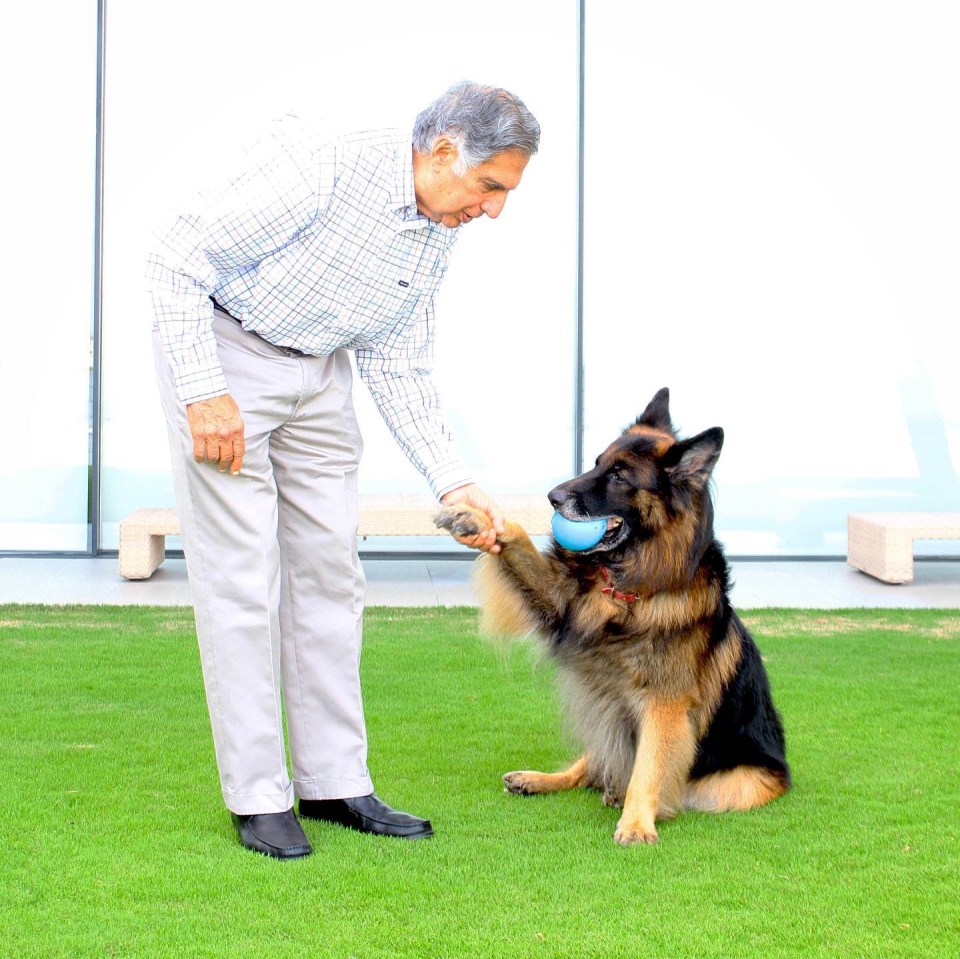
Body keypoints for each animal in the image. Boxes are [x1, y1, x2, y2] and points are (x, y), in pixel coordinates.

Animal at [436, 390, 788, 848]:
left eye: (620, 476)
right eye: (597, 462)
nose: (553, 496)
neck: (629, 588)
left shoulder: (664, 704)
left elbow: (649, 768)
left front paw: (637, 823)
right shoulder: (558, 602)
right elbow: (516, 538)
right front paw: (475, 518)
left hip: (739, 782)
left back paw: (621, 797)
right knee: (588, 765)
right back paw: (540, 779)